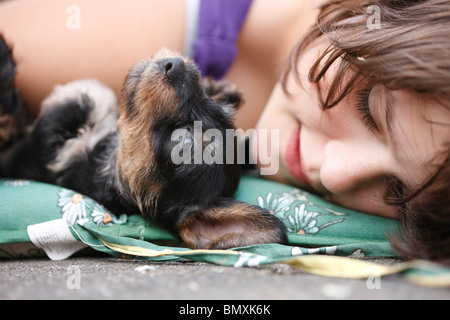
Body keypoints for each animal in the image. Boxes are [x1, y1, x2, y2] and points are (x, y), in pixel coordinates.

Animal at [0, 47, 288, 249]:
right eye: (216, 107)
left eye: (186, 141)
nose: (176, 65)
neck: (113, 159)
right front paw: (220, 88)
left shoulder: (59, 154)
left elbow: (79, 102)